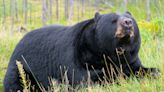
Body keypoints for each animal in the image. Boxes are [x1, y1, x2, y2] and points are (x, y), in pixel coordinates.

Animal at [3, 11, 159, 91]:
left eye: (131, 18)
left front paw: (152, 72)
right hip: (21, 67)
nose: (128, 22)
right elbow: (86, 79)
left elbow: (139, 68)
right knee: (16, 83)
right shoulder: (79, 58)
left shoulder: (130, 58)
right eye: (114, 20)